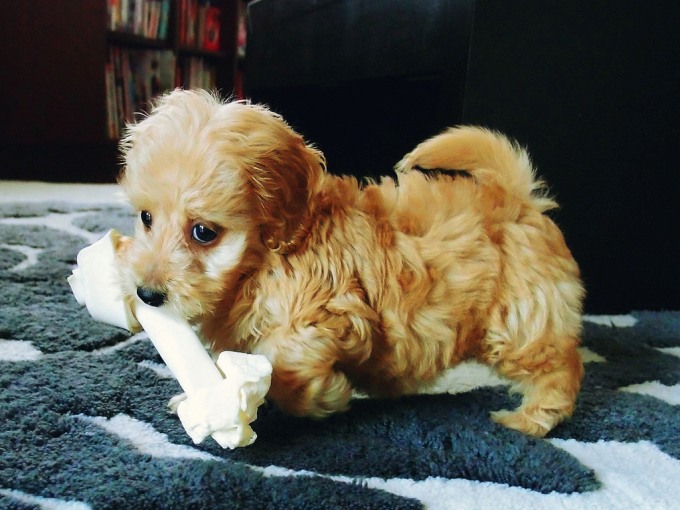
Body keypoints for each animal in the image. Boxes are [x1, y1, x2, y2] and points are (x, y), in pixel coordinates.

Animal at [118, 89, 584, 436]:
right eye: (146, 218)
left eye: (203, 232)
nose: (147, 294)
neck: (264, 258)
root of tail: (518, 198)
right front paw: (203, 395)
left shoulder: (329, 313)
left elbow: (282, 357)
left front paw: (326, 397)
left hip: (519, 320)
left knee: (558, 366)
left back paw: (530, 418)